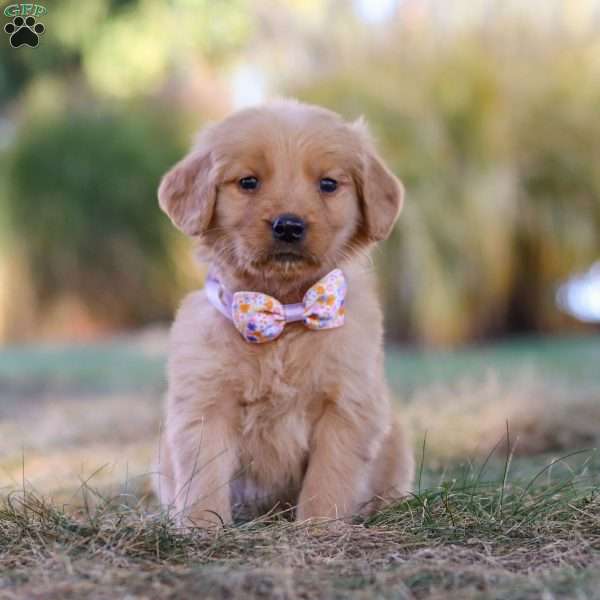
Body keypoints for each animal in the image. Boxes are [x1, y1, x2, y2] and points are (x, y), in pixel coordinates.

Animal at [156, 98, 412, 524]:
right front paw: (200, 528)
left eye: (328, 184)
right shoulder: (205, 404)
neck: (284, 313)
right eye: (248, 182)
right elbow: (203, 479)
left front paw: (319, 528)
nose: (289, 226)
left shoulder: (346, 406)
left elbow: (328, 479)